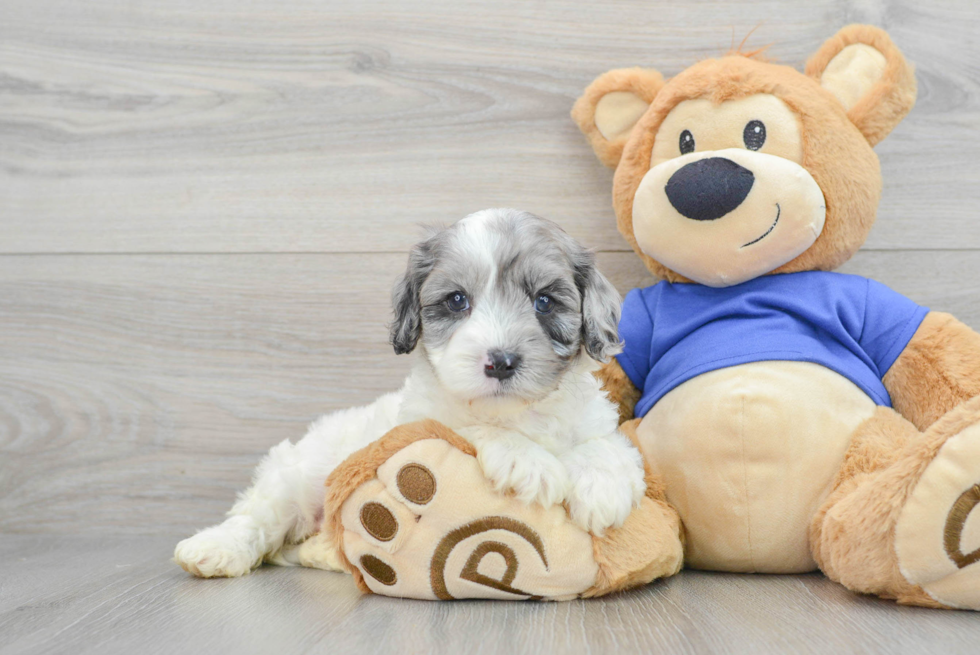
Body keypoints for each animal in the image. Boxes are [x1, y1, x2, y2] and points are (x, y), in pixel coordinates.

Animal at [174, 210, 652, 580]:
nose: (501, 361)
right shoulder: (418, 422)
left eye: (544, 302)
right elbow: (465, 428)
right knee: (258, 515)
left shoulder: (592, 419)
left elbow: (605, 443)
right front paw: (528, 462)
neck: (516, 413)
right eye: (457, 300)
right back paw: (214, 548)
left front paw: (602, 486)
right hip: (296, 476)